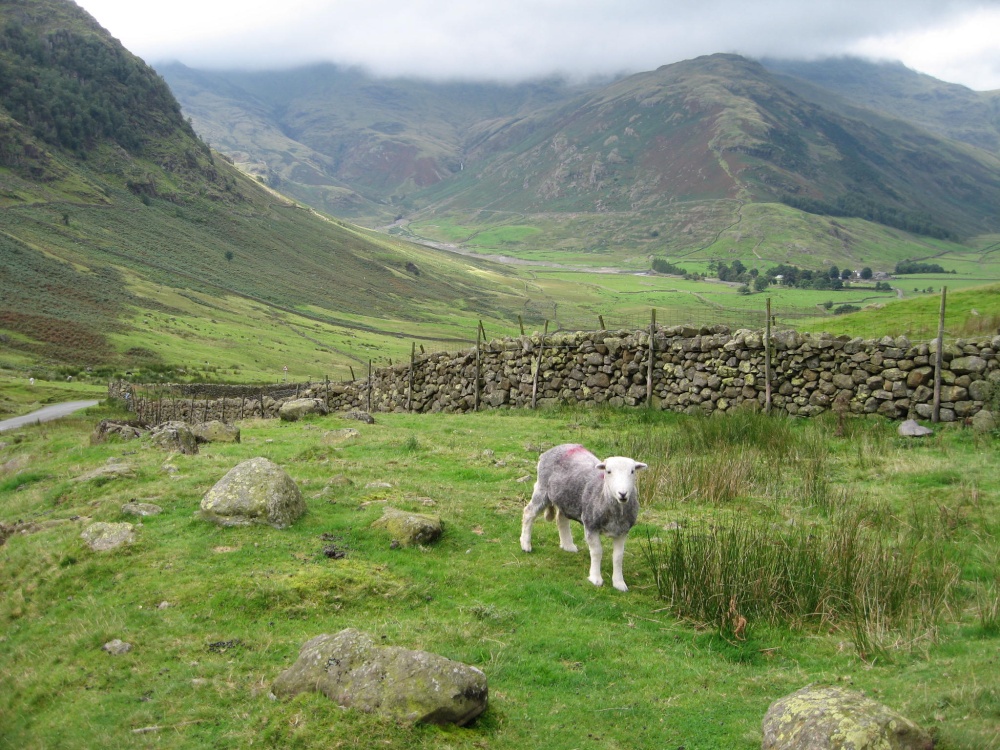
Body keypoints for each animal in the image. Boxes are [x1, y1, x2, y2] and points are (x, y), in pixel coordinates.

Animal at [520, 444, 652, 592]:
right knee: (529, 513)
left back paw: (568, 545)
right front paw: (596, 578)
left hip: (566, 498)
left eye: (632, 471)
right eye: (608, 471)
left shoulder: (622, 531)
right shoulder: (591, 525)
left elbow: (618, 557)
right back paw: (525, 544)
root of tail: (554, 448)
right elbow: (597, 552)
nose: (622, 493)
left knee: (561, 518)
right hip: (542, 490)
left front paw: (619, 583)